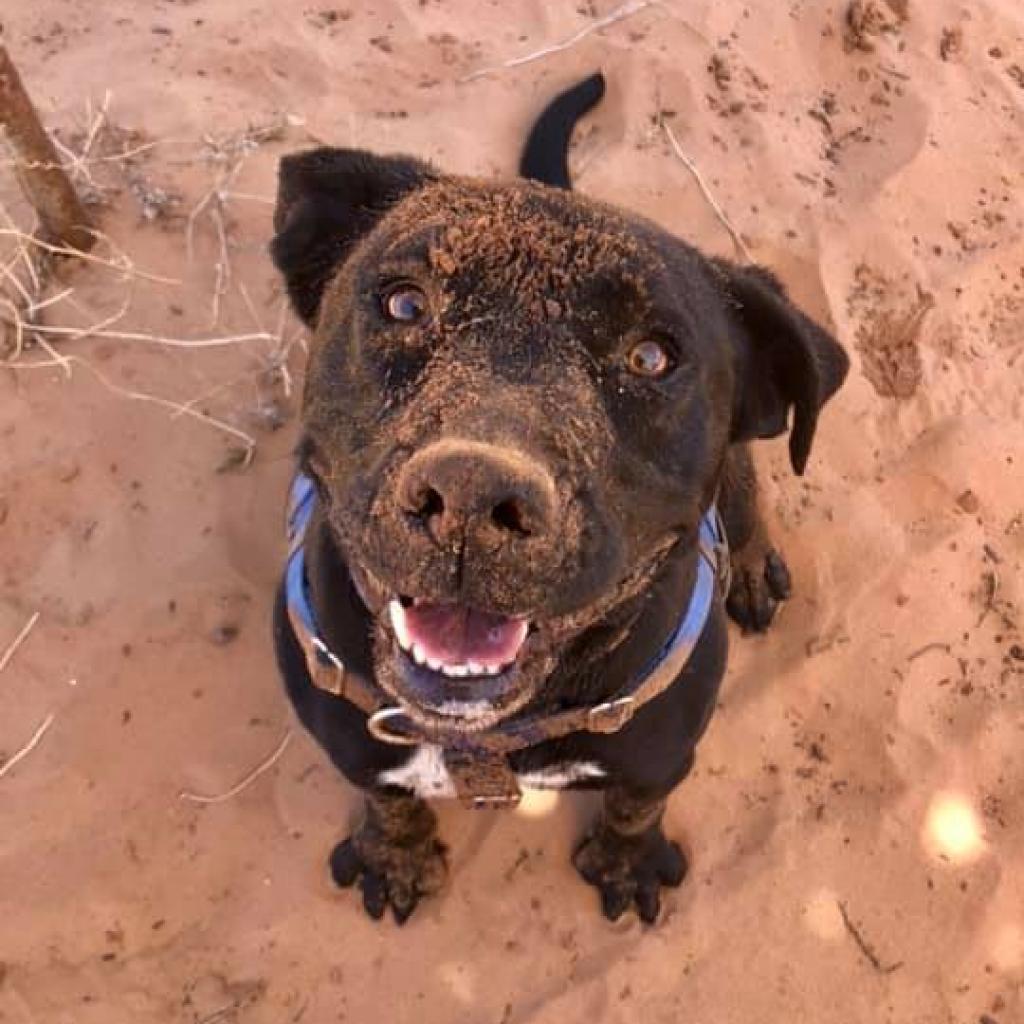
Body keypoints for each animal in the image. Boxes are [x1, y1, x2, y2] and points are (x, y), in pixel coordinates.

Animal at [266, 72, 847, 921]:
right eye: (405, 303)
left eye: (652, 356)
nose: (472, 497)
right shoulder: (349, 735)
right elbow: (388, 797)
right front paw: (395, 856)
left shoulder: (661, 749)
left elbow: (637, 804)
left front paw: (627, 862)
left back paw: (751, 562)